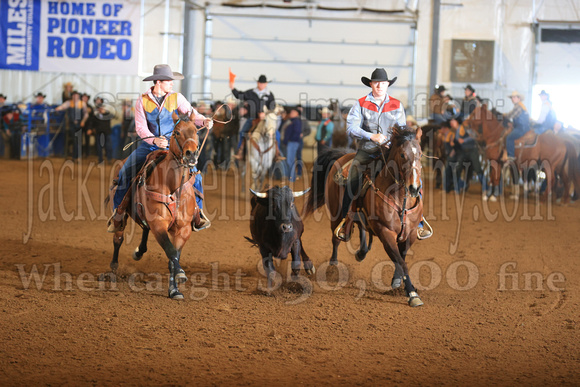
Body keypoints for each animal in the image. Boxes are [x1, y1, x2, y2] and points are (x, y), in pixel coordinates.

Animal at [109, 112, 204, 300]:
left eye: (196, 132)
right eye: (176, 132)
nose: (191, 155)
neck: (173, 188)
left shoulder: (183, 229)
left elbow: (173, 258)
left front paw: (174, 290)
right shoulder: (159, 224)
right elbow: (170, 251)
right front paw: (181, 273)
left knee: (144, 229)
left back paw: (139, 251)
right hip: (122, 215)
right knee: (118, 238)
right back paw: (114, 268)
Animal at [306, 126, 424, 308]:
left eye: (420, 154)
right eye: (403, 155)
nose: (414, 188)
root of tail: (342, 155)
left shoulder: (409, 234)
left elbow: (401, 258)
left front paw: (397, 282)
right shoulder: (385, 232)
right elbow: (401, 261)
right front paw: (412, 294)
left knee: (360, 227)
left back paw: (361, 252)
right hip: (335, 214)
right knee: (336, 238)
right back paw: (333, 267)